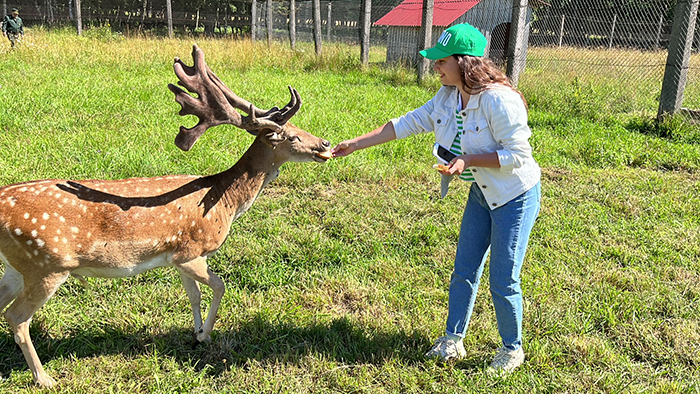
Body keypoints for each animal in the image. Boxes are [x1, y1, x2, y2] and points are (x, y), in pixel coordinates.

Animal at [0, 44, 332, 386]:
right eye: (290, 136)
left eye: (299, 128)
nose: (325, 143)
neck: (226, 202)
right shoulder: (192, 251)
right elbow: (219, 286)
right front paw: (205, 334)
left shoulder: (178, 257)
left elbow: (194, 294)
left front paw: (197, 332)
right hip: (47, 264)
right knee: (16, 316)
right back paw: (44, 378)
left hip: (17, 267)